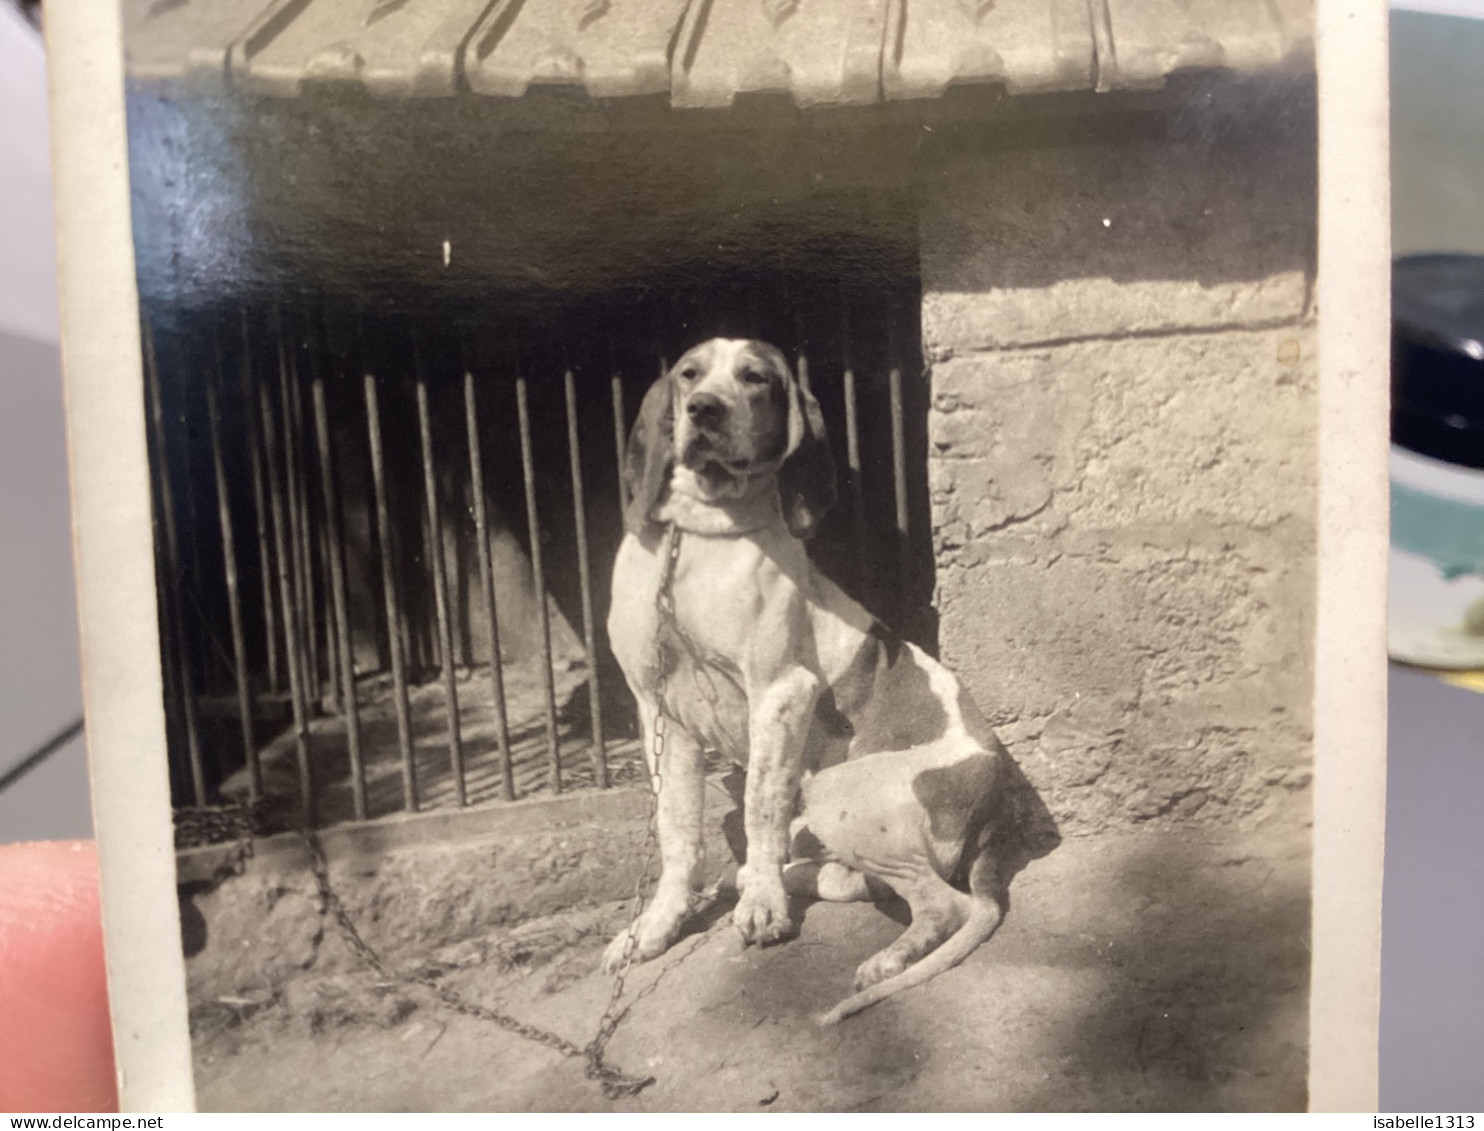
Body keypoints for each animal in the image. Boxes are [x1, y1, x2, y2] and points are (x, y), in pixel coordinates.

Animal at [602, 336, 1020, 1021]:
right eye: (689, 373)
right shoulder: (659, 715)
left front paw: (763, 910)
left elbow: (758, 806)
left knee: (944, 905)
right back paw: (753, 879)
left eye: (756, 377)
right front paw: (655, 928)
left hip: (834, 795)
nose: (704, 408)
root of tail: (995, 811)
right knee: (850, 880)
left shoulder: (780, 693)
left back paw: (878, 958)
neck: (696, 543)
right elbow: (677, 835)